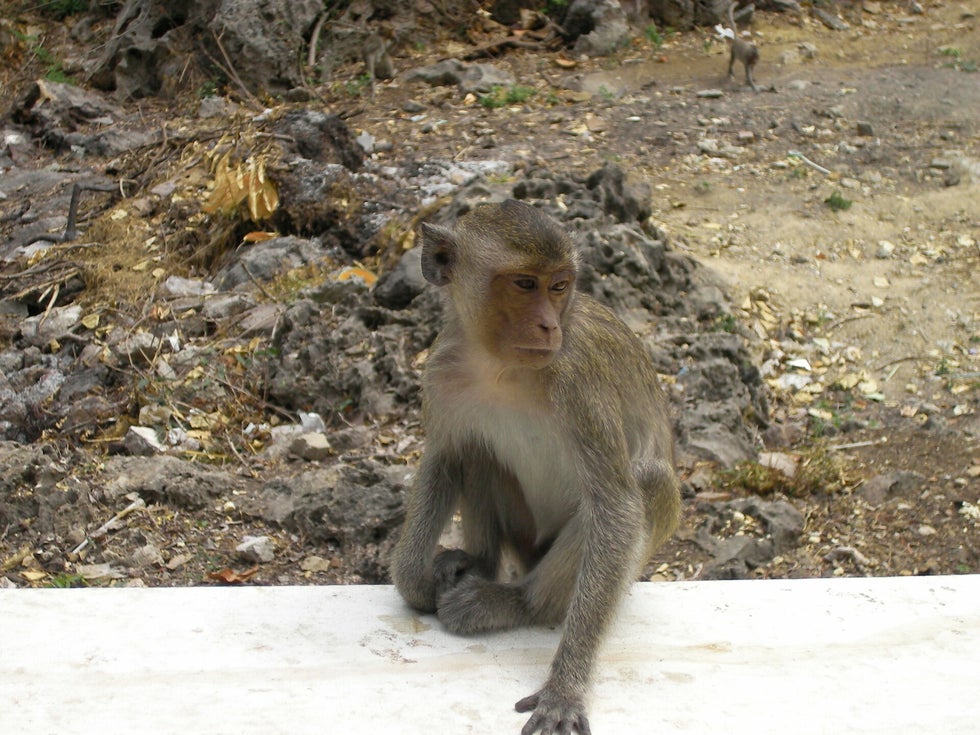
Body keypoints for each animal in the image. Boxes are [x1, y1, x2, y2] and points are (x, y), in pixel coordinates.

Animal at [390, 200, 680, 735]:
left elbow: (617, 506)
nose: (549, 326)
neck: (500, 367)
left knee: (645, 488)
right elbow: (445, 457)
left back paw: (515, 603)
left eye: (559, 285)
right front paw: (412, 582)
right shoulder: (441, 370)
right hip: (524, 538)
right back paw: (477, 565)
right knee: (478, 452)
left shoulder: (579, 382)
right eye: (525, 284)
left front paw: (565, 688)